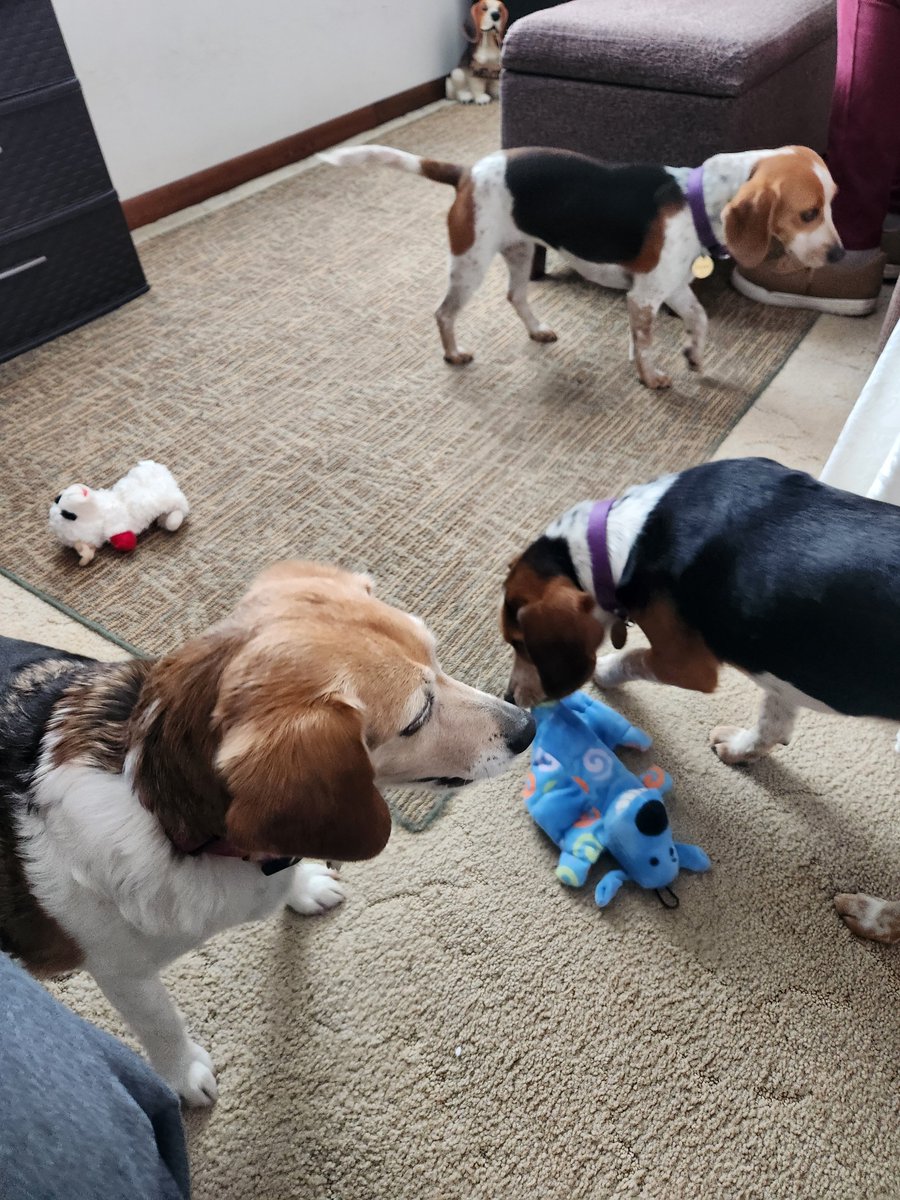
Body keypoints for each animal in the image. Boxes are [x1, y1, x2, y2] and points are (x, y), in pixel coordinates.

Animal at [0, 561, 535, 1104]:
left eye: (437, 655)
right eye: (418, 717)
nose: (528, 727)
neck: (163, 810)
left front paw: (306, 887)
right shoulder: (122, 972)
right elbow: (160, 1022)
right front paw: (184, 1075)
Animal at [324, 141, 844, 386]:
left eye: (833, 203)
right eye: (808, 213)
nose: (839, 255)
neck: (697, 199)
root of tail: (468, 171)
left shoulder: (672, 288)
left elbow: (699, 319)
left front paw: (694, 355)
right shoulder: (645, 297)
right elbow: (647, 344)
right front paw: (651, 377)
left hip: (519, 253)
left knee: (515, 295)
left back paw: (537, 331)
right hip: (469, 265)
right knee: (443, 313)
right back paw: (454, 354)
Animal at [501, 458, 900, 936]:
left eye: (518, 644)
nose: (509, 696)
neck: (628, 538)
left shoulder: (684, 663)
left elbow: (631, 657)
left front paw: (605, 673)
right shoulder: (775, 660)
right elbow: (773, 718)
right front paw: (743, 749)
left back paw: (871, 915)